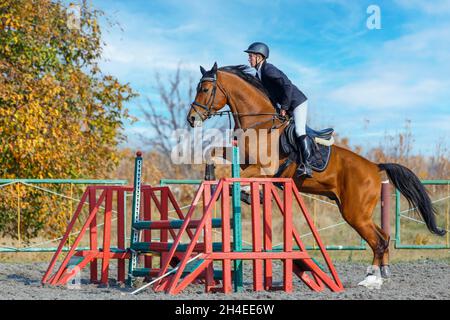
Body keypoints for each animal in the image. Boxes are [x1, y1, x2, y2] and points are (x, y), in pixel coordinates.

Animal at [185, 62, 446, 288]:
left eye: (205, 89)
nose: (192, 118)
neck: (260, 122)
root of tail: (374, 166)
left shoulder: (263, 168)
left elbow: (233, 179)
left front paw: (246, 193)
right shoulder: (244, 158)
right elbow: (214, 153)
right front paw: (217, 179)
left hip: (355, 213)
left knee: (378, 240)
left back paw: (371, 279)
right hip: (357, 211)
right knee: (383, 237)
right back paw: (382, 274)